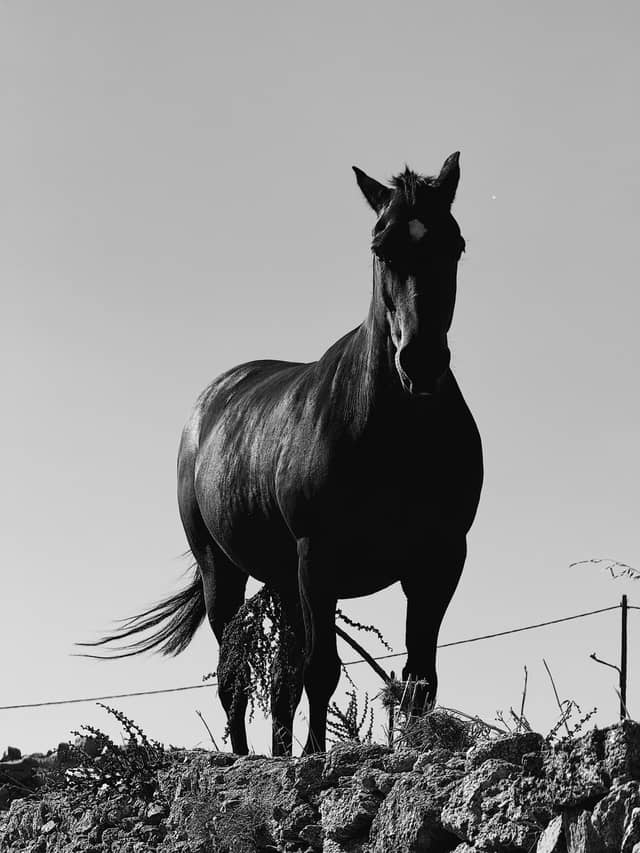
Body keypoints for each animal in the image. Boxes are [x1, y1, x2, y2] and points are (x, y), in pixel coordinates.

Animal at [83, 153, 483, 756]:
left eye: (454, 244)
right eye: (381, 248)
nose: (421, 361)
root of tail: (208, 405)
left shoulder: (438, 561)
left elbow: (419, 679)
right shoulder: (318, 559)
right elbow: (321, 671)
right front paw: (315, 760)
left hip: (282, 581)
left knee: (280, 685)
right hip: (225, 571)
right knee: (236, 677)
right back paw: (244, 757)